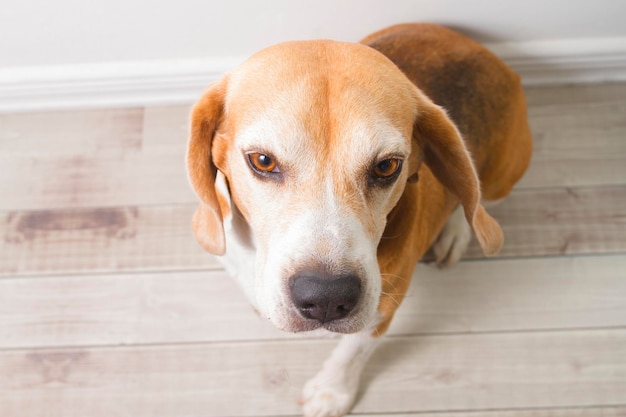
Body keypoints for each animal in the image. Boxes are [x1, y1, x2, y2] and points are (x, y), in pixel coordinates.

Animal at [186, 22, 532, 416]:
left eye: (387, 166)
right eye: (262, 160)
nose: (325, 296)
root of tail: (485, 52)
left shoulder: (384, 305)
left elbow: (353, 351)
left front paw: (330, 392)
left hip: (506, 174)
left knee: (475, 197)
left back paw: (457, 231)